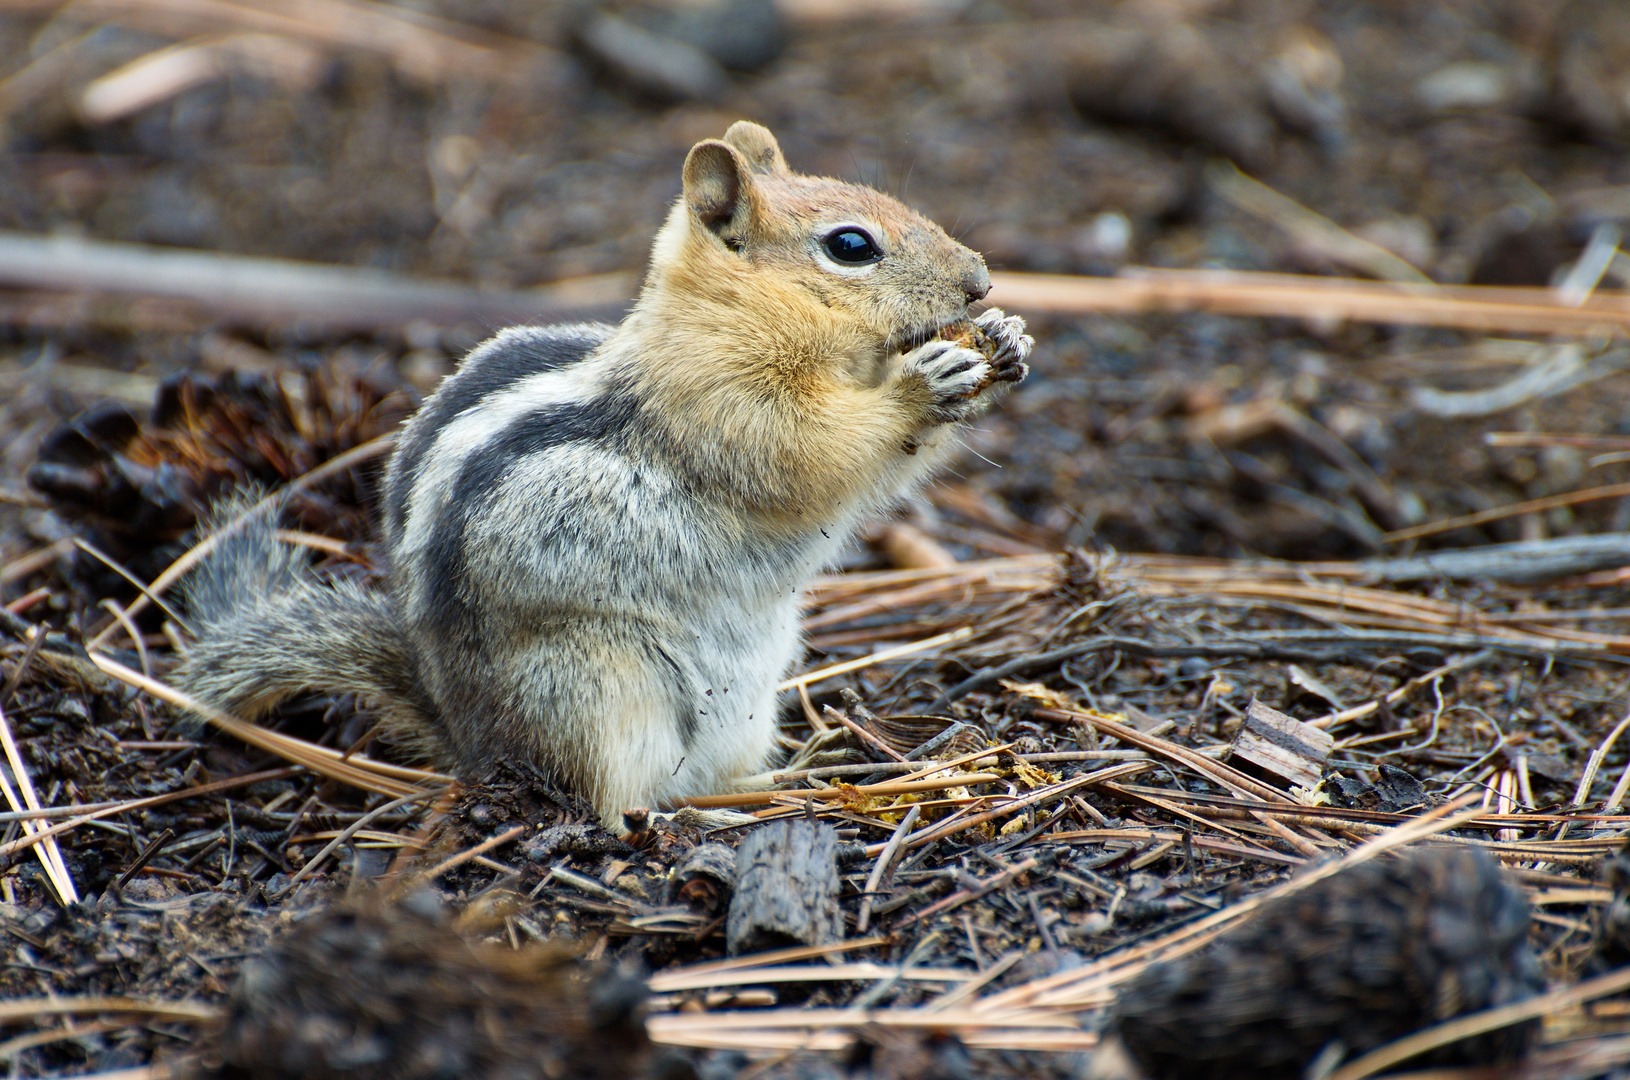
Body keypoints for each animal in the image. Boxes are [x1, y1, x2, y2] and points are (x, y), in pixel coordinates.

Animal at [178, 120, 1030, 827]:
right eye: (852, 246)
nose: (981, 281)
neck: (726, 318)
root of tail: (476, 742)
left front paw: (1005, 338)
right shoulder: (728, 404)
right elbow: (817, 453)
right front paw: (923, 383)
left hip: (747, 700)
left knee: (720, 774)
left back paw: (800, 772)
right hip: (602, 690)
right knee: (609, 794)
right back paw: (669, 823)